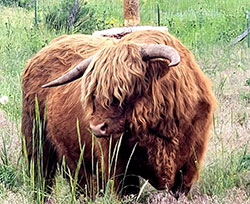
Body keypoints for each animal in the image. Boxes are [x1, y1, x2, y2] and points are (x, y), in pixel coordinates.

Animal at [21, 29, 217, 198]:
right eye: (93, 94)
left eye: (127, 88)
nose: (96, 128)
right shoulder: (119, 166)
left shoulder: (189, 165)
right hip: (37, 142)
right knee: (43, 178)